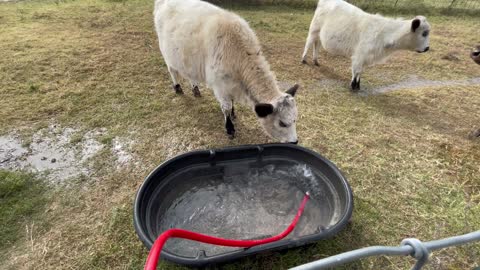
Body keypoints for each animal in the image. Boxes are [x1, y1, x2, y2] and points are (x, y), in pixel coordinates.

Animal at [154, 0, 298, 143]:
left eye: (295, 119)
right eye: (282, 123)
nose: (295, 141)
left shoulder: (231, 85)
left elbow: (231, 102)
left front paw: (234, 114)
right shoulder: (220, 86)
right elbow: (226, 108)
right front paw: (230, 128)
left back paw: (195, 88)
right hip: (166, 53)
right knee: (172, 71)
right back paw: (178, 87)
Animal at [302, 0, 430, 91]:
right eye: (424, 33)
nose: (427, 48)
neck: (385, 34)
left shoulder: (365, 57)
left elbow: (360, 72)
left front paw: (358, 86)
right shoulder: (359, 55)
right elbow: (356, 71)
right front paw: (353, 86)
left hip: (319, 34)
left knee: (317, 45)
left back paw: (316, 61)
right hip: (314, 29)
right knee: (308, 43)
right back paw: (304, 59)